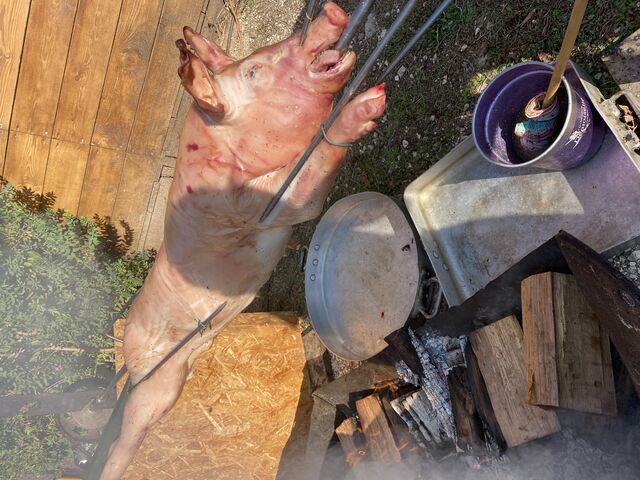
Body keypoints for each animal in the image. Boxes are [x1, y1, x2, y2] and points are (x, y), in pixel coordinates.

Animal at [100, 3, 386, 478]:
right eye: (254, 70)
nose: (332, 11)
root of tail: (128, 354)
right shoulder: (261, 207)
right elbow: (310, 172)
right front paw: (369, 105)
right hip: (156, 383)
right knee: (127, 435)